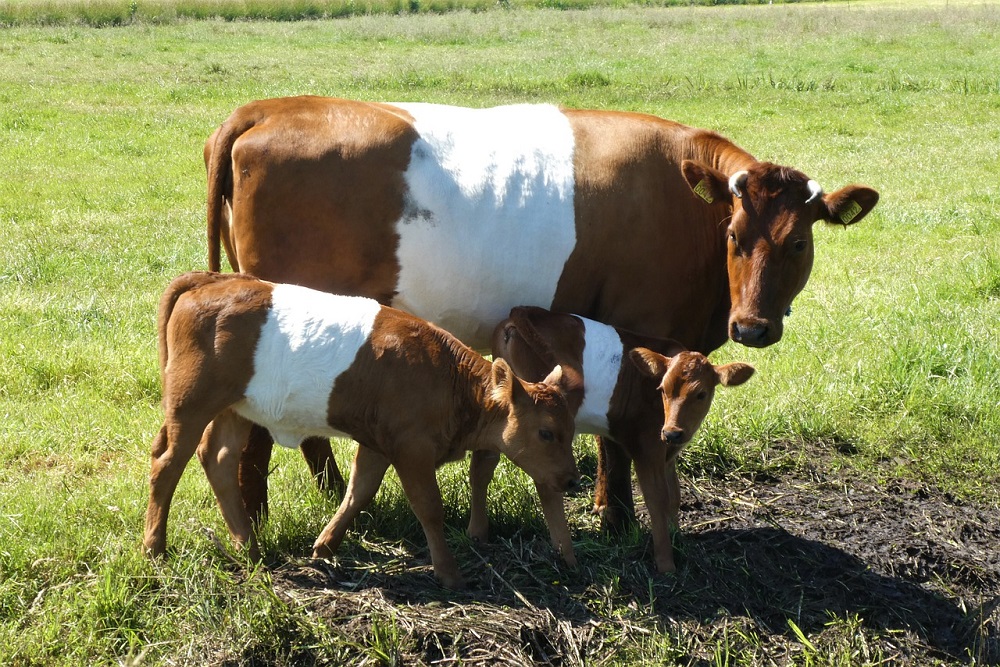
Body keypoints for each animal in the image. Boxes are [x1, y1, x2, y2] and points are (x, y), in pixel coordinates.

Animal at [143, 268, 580, 588]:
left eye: (570, 429)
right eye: (546, 432)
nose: (571, 480)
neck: (448, 380)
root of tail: (213, 279)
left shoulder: (378, 444)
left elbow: (359, 490)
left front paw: (325, 546)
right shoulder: (411, 448)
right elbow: (429, 508)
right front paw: (449, 573)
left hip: (238, 407)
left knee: (218, 457)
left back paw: (249, 548)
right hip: (191, 402)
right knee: (167, 463)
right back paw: (155, 549)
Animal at [205, 95, 884, 532]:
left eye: (800, 243)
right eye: (735, 236)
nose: (752, 327)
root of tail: (267, 107)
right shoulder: (640, 327)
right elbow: (617, 433)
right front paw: (616, 516)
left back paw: (322, 494)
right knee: (257, 426)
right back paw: (258, 522)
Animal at [472, 308, 752, 576]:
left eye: (701, 394)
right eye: (662, 389)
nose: (672, 433)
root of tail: (519, 315)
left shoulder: (667, 452)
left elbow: (674, 495)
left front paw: (677, 539)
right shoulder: (647, 446)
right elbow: (657, 499)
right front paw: (666, 564)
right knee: (547, 486)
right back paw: (566, 557)